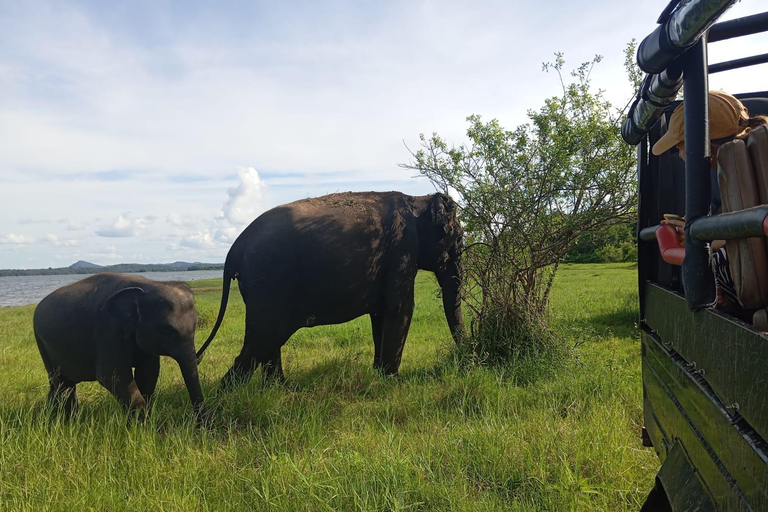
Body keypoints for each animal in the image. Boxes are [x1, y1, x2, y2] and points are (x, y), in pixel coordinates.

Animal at [33, 272, 204, 420]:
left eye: (196, 325)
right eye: (166, 330)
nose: (201, 427)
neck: (147, 285)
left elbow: (148, 372)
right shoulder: (107, 328)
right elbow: (111, 375)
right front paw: (141, 427)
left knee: (57, 384)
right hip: (42, 342)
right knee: (63, 384)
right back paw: (69, 420)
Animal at [196, 190, 462, 386]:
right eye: (457, 240)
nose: (464, 358)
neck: (417, 199)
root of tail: (233, 250)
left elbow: (381, 315)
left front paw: (378, 375)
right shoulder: (402, 249)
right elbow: (402, 309)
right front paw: (392, 383)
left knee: (268, 342)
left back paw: (279, 389)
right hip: (267, 281)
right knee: (262, 339)